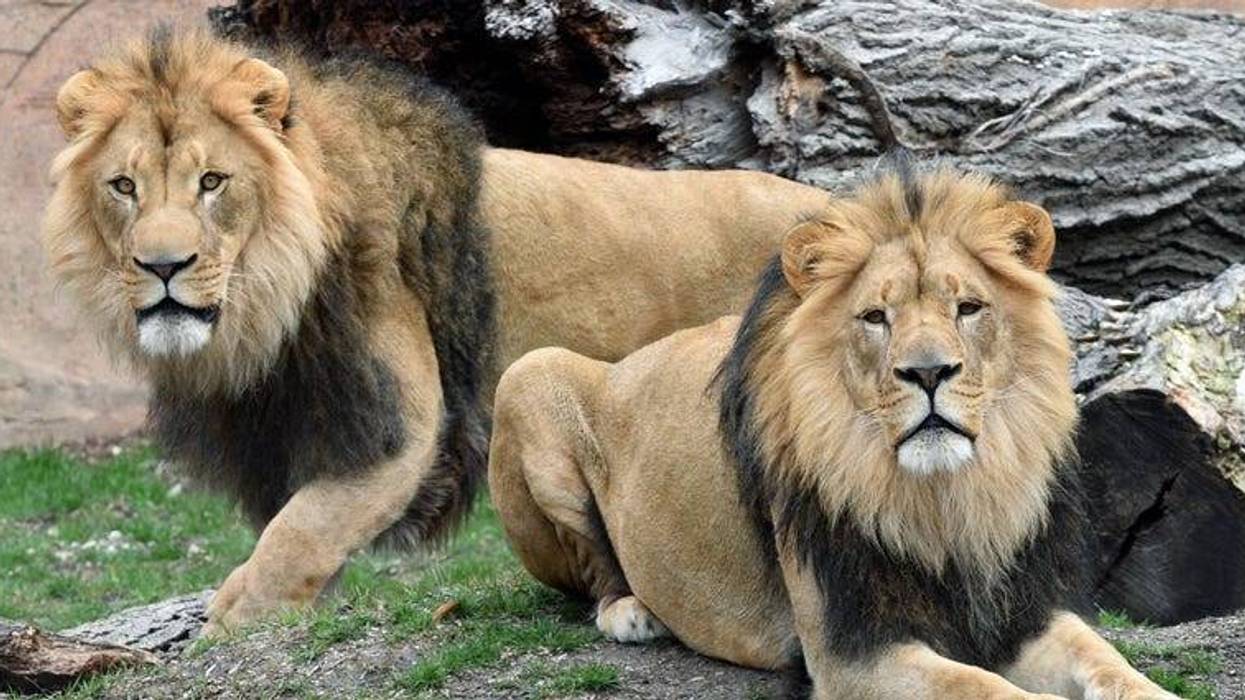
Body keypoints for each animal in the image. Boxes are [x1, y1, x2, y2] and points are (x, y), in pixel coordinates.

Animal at [42, 27, 830, 636]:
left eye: (212, 182)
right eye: (123, 187)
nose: (162, 266)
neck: (265, 315)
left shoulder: (399, 424)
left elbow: (301, 529)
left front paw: (233, 616)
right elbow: (299, 530)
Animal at [489, 167, 1179, 699]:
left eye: (968, 308)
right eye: (875, 316)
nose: (928, 372)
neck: (944, 498)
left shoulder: (1022, 610)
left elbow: (1112, 664)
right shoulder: (854, 654)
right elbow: (988, 689)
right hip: (527, 374)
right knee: (592, 567)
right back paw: (630, 612)